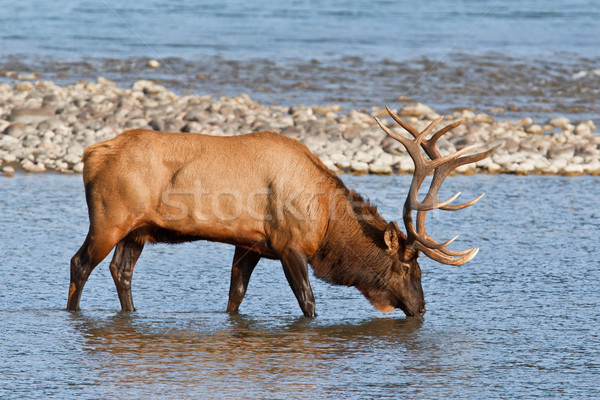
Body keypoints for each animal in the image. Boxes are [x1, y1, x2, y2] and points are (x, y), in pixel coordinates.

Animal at [68, 105, 496, 316]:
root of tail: (89, 154)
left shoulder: (251, 244)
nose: (421, 309)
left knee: (121, 270)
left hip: (137, 230)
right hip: (108, 219)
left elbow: (235, 297)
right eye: (409, 269)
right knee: (80, 263)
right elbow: (308, 302)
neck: (325, 221)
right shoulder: (291, 245)